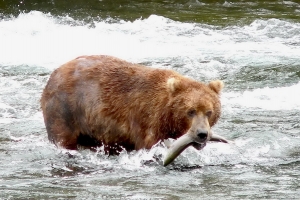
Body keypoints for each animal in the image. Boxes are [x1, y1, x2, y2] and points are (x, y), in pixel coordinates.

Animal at [39, 55, 227, 166]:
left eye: (209, 112)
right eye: (191, 111)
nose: (202, 134)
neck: (166, 117)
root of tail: (54, 73)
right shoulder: (145, 119)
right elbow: (148, 146)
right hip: (65, 109)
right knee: (64, 137)